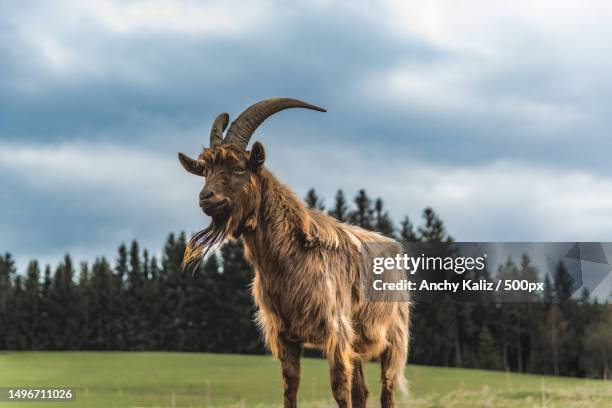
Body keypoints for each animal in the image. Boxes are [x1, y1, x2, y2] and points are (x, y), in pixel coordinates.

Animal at [179, 97, 408, 406]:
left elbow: (340, 389)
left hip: (393, 339)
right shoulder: (286, 336)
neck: (289, 259)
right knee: (363, 390)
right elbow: (290, 387)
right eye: (205, 171)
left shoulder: (336, 331)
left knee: (386, 389)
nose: (206, 198)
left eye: (239, 168)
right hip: (358, 341)